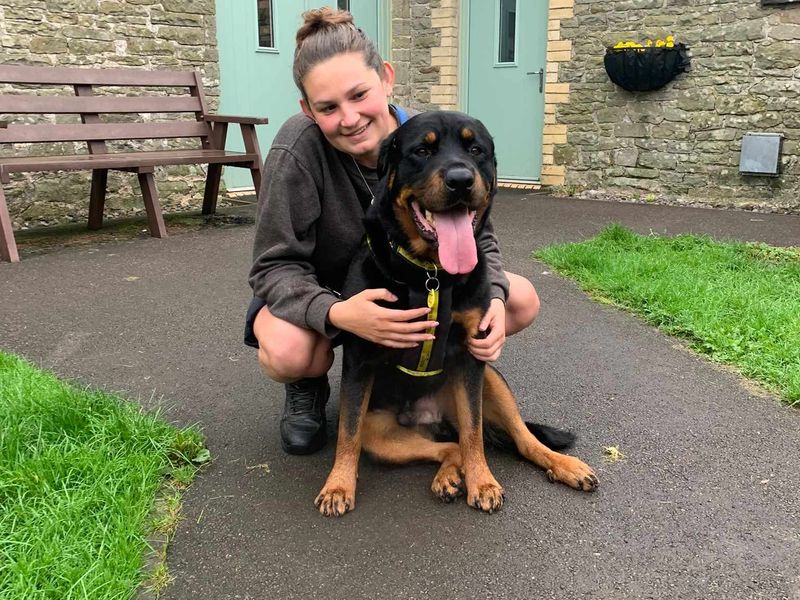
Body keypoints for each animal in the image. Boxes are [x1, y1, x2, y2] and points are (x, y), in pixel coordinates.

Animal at [316, 111, 596, 516]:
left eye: (475, 149)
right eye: (422, 150)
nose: (461, 180)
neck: (432, 274)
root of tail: (430, 419)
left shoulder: (471, 358)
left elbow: (474, 433)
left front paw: (483, 481)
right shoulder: (360, 361)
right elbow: (347, 433)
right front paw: (338, 485)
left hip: (491, 380)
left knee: (513, 438)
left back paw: (564, 465)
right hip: (382, 435)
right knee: (447, 447)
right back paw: (448, 476)